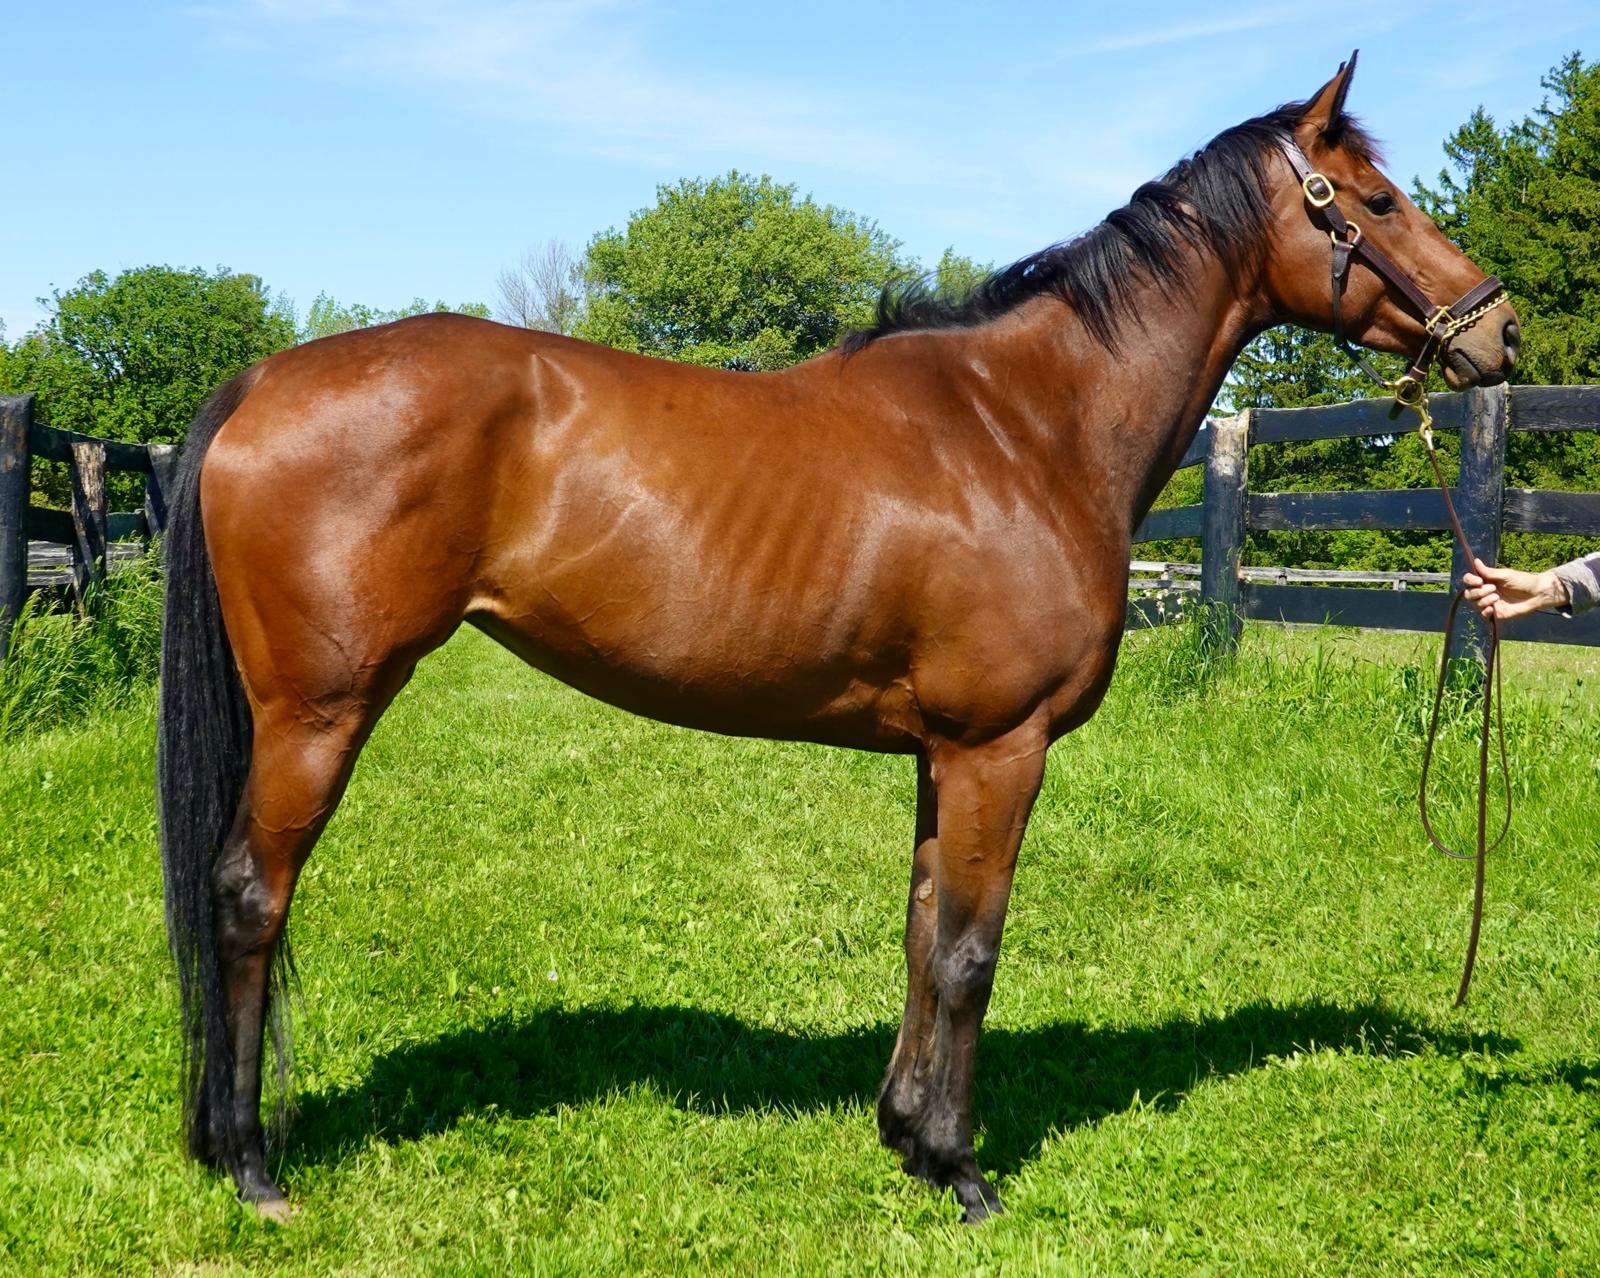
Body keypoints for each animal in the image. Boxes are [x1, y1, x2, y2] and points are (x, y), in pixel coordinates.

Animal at [156, 55, 1516, 1222]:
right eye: (1378, 201)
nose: (1497, 333)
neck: (1026, 428)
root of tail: (264, 379)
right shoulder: (999, 746)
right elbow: (969, 951)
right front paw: (962, 1172)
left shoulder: (941, 754)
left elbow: (920, 930)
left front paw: (906, 1138)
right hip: (319, 713)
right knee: (248, 897)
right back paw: (251, 1165)